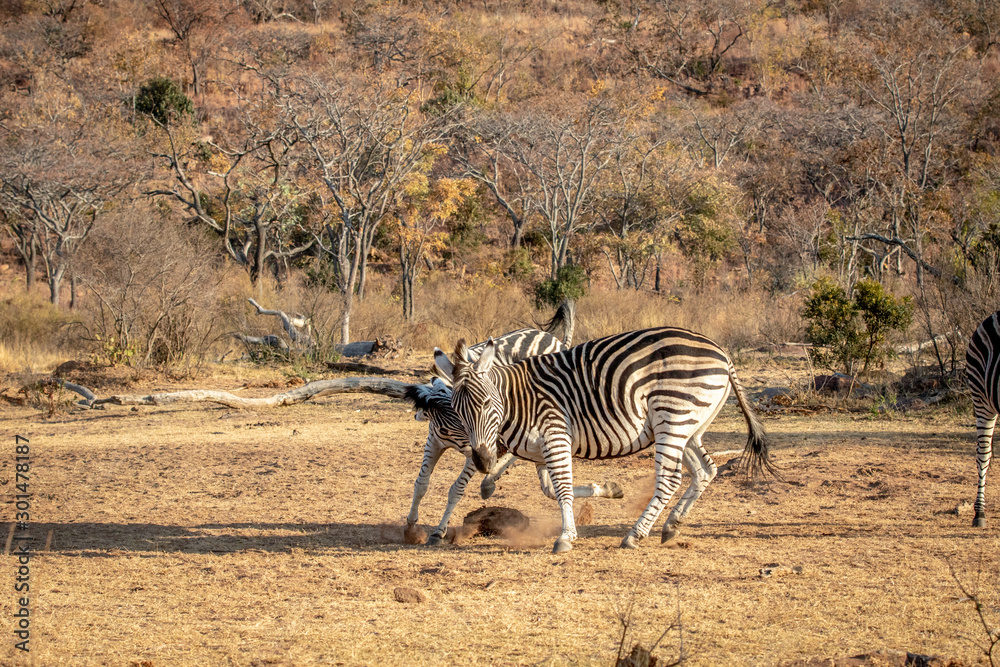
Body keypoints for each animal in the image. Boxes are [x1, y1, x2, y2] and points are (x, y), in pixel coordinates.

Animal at [434, 326, 778, 553]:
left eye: (487, 405)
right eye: (457, 410)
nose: (482, 461)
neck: (518, 401)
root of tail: (721, 352)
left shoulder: (555, 434)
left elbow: (561, 488)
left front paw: (565, 538)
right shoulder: (537, 451)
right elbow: (549, 489)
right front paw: (609, 490)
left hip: (672, 417)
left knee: (669, 479)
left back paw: (635, 535)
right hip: (689, 427)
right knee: (706, 470)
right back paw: (671, 526)